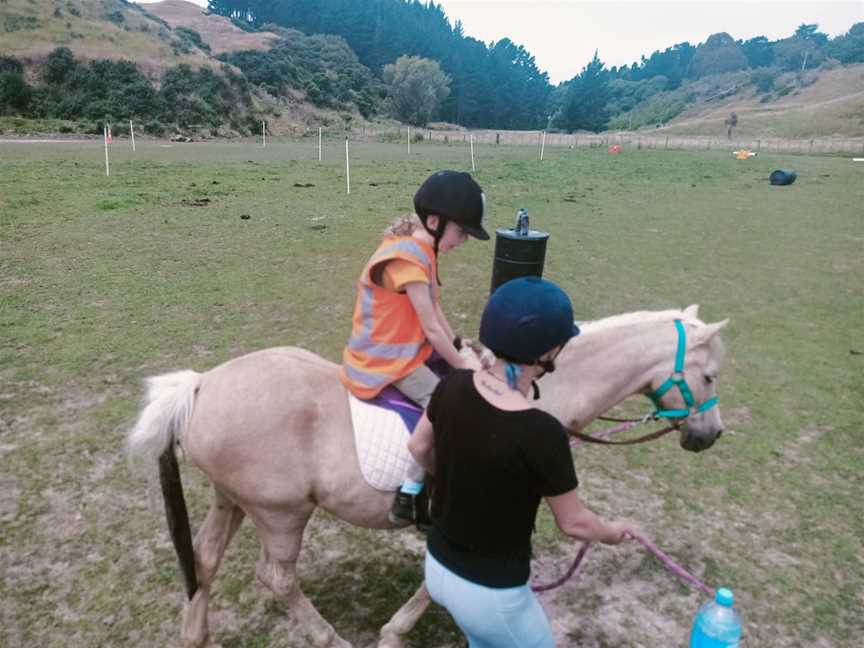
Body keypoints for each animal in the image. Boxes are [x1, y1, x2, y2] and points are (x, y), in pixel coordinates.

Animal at [128, 306, 728, 648]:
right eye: (710, 375)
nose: (711, 435)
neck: (534, 395)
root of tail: (202, 384)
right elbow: (438, 582)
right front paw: (393, 634)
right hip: (281, 514)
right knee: (276, 580)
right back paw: (331, 640)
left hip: (230, 500)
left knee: (203, 562)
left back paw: (196, 636)